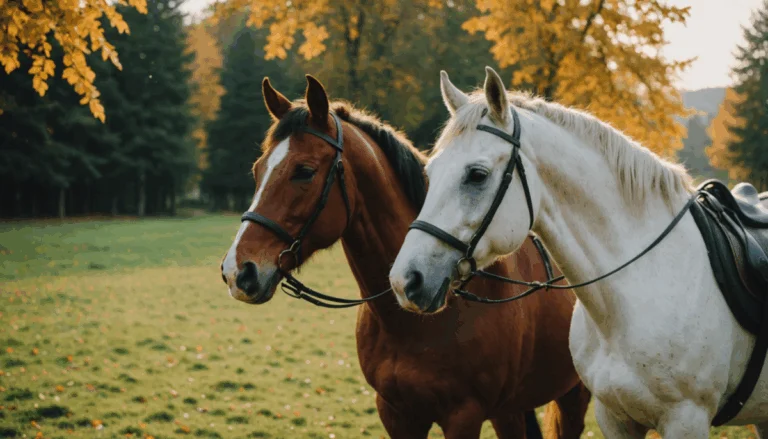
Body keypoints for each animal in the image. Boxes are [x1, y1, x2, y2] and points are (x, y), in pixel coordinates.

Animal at [219, 74, 591, 439]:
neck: (411, 323)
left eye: (304, 171)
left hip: (570, 397)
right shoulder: (397, 414)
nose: (238, 271)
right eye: (257, 170)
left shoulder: (466, 417)